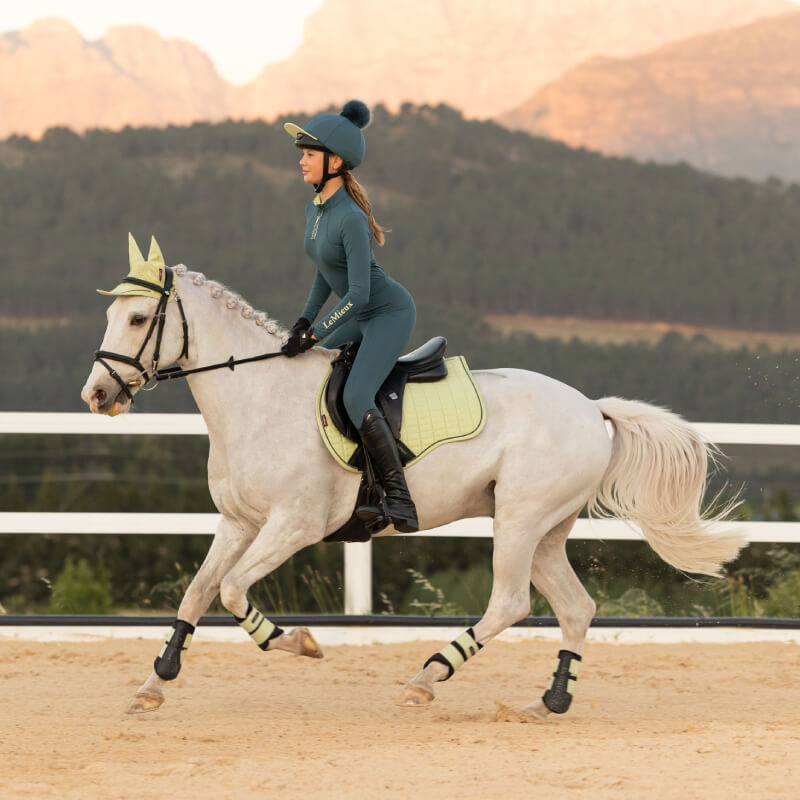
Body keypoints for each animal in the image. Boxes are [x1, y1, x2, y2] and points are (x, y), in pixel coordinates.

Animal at [81, 262, 744, 718]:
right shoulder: (239, 523)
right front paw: (152, 685)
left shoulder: (295, 524)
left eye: (138, 319)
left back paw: (427, 678)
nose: (97, 394)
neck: (257, 398)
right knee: (575, 607)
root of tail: (592, 409)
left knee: (510, 602)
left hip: (520, 519)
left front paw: (300, 643)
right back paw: (548, 702)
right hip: (544, 530)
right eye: (113, 317)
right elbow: (197, 593)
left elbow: (233, 591)